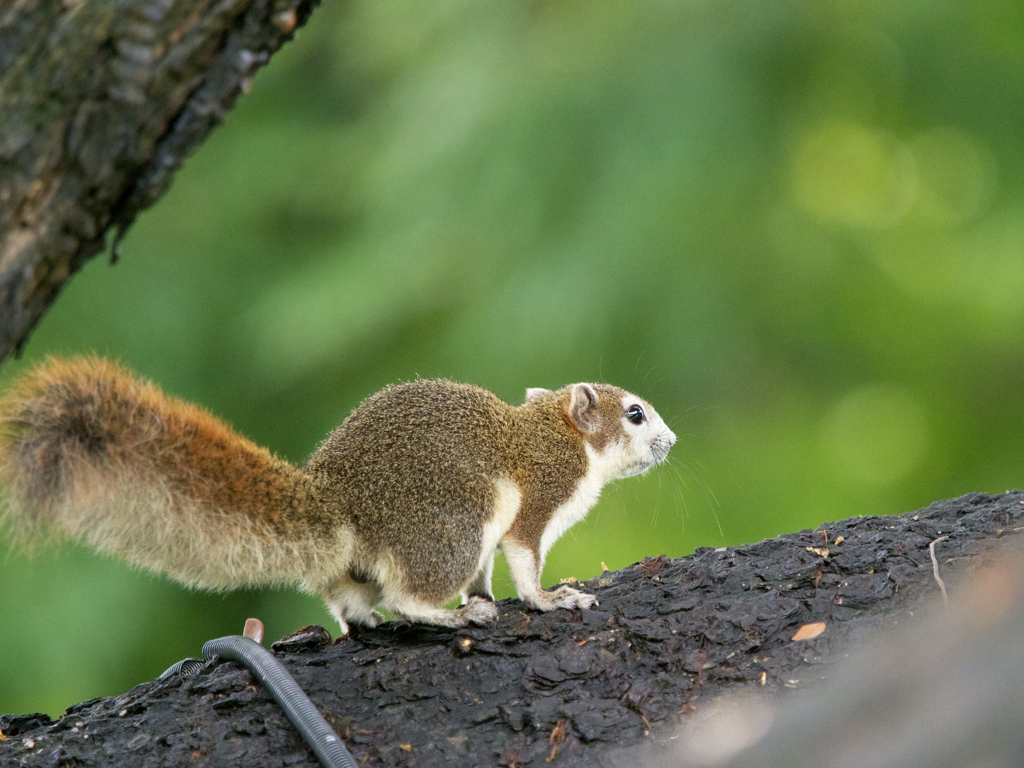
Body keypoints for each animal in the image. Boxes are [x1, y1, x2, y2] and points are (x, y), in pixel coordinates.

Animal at [2, 358, 679, 634]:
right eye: (635, 413)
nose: (671, 442)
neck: (553, 433)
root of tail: (342, 507)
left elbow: (486, 573)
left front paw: (486, 594)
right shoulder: (535, 501)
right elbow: (525, 564)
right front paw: (549, 599)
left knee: (353, 598)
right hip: (454, 522)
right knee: (410, 596)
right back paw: (450, 615)